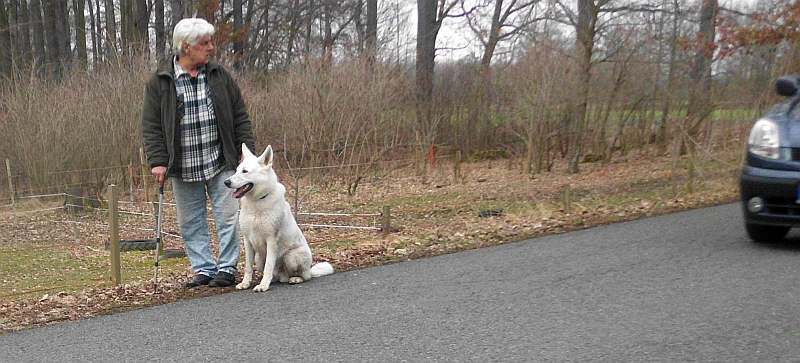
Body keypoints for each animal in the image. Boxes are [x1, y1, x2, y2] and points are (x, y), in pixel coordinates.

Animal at [225, 144, 334, 292]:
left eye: (245, 171)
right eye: (236, 171)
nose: (226, 182)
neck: (257, 202)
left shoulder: (271, 241)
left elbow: (268, 267)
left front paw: (263, 286)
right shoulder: (247, 241)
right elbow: (248, 267)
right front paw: (245, 283)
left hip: (291, 256)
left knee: (305, 276)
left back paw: (295, 279)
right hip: (259, 258)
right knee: (276, 275)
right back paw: (275, 279)